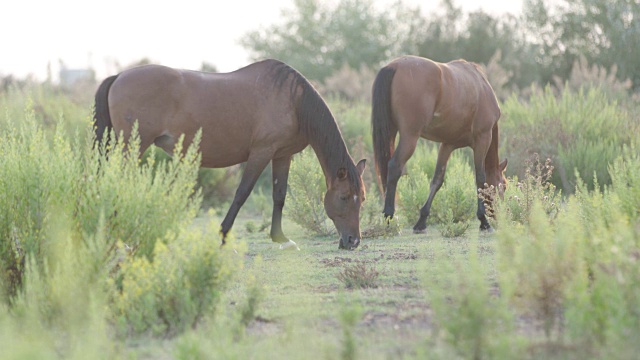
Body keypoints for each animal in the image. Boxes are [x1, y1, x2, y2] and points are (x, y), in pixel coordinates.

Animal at [92, 59, 368, 250]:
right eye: (344, 197)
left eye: (362, 199)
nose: (353, 241)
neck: (293, 101)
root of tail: (118, 76)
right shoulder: (261, 152)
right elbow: (242, 193)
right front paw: (223, 236)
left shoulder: (282, 155)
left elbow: (279, 195)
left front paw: (281, 238)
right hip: (131, 147)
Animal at [372, 54, 508, 232]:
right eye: (504, 186)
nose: (502, 217)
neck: (481, 86)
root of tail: (393, 66)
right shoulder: (482, 139)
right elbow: (480, 178)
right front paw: (483, 220)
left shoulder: (447, 145)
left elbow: (437, 179)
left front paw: (422, 220)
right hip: (410, 137)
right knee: (394, 166)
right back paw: (388, 215)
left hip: (392, 132)